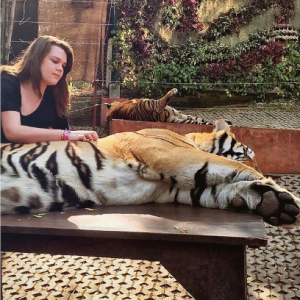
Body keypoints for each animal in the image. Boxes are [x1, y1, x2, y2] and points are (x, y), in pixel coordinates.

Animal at [1, 120, 298, 226]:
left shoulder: (174, 189)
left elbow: (219, 188)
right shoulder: (171, 156)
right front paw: (285, 193)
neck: (188, 139)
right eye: (249, 154)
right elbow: (235, 169)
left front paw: (273, 202)